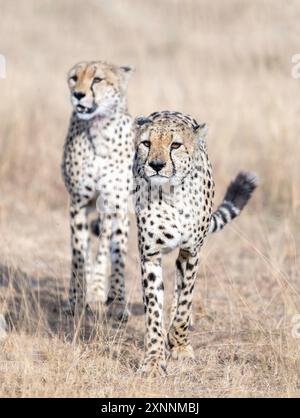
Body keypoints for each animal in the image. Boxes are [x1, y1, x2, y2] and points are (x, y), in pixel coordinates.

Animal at [61, 60, 134, 320]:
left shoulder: (116, 203)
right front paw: (76, 301)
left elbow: (116, 254)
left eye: (98, 80)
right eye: (74, 78)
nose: (78, 95)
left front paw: (119, 303)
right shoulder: (79, 202)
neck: (99, 129)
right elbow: (79, 254)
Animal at [134, 111, 258, 376]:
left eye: (175, 145)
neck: (171, 193)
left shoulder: (190, 252)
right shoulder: (150, 255)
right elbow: (153, 310)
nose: (156, 165)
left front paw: (179, 345)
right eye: (146, 143)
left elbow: (184, 302)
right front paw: (153, 360)